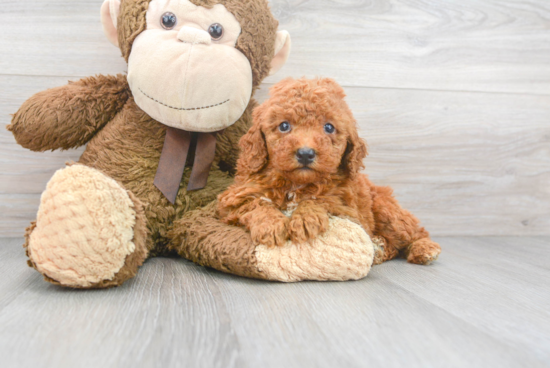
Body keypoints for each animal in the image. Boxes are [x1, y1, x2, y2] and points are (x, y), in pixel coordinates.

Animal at [218, 77, 442, 264]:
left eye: (328, 128)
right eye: (284, 126)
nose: (305, 153)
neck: (295, 183)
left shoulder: (348, 209)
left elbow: (322, 199)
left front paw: (306, 218)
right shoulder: (234, 198)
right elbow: (255, 203)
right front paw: (271, 224)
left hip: (386, 210)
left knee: (414, 232)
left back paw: (424, 248)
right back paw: (379, 249)